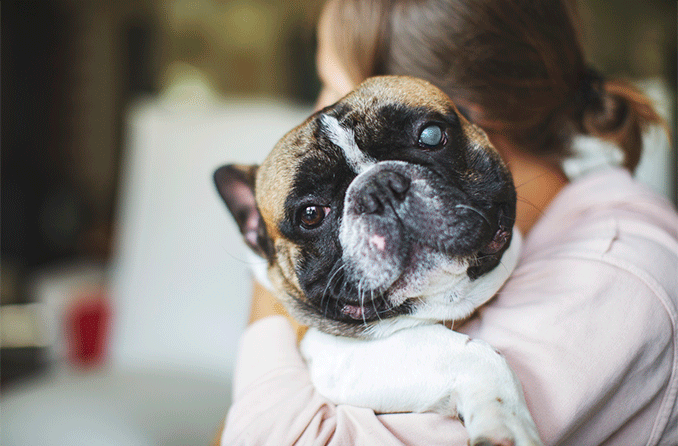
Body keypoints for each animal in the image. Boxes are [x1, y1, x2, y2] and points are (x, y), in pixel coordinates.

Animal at [215, 76, 544, 446]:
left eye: (431, 135)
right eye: (310, 215)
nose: (380, 187)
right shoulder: (334, 353)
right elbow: (472, 355)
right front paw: (505, 423)